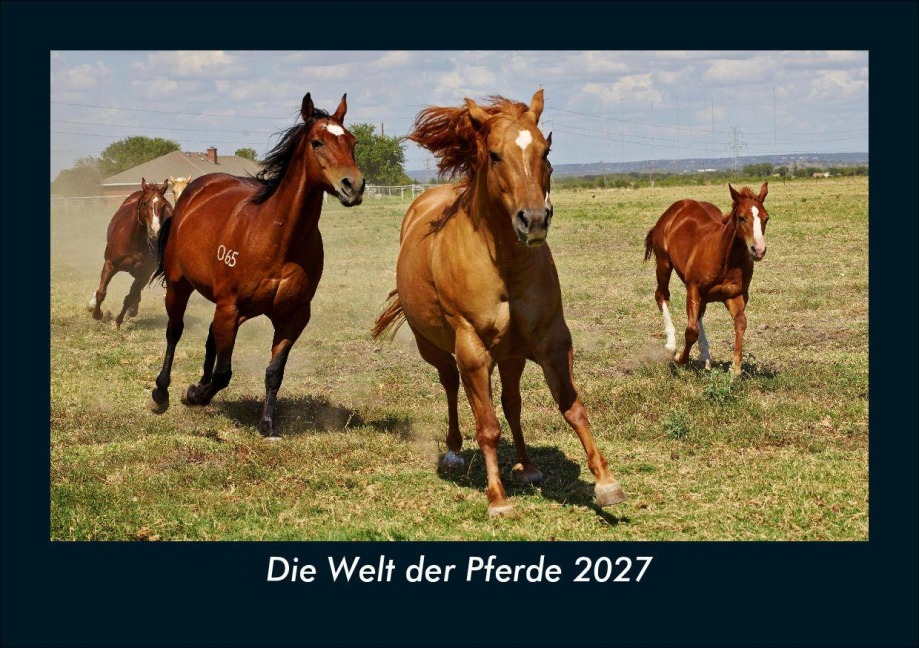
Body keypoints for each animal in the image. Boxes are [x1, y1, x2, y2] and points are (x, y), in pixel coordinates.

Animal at [88, 178, 172, 326]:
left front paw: (118, 321)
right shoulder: (110, 264)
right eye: (145, 203)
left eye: (164, 205)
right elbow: (101, 292)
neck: (135, 242)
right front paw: (97, 314)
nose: (155, 231)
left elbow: (130, 296)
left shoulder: (145, 272)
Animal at [149, 92, 364, 437]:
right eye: (317, 142)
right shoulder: (230, 307)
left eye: (352, 142)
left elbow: (274, 372)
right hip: (180, 286)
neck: (277, 240)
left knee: (210, 337)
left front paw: (266, 424)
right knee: (174, 332)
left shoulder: (293, 317)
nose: (353, 186)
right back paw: (162, 392)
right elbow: (224, 373)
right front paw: (195, 394)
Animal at [372, 90, 625, 517]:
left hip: (511, 355)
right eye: (494, 155)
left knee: (511, 403)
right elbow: (487, 426)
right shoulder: (473, 349)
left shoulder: (551, 339)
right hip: (436, 348)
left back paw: (526, 465)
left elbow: (571, 407)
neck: (502, 262)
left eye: (545, 150)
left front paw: (606, 483)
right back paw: (454, 452)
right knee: (451, 386)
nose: (534, 220)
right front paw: (497, 499)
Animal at [644, 182, 770, 376]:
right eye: (741, 218)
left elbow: (741, 323)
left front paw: (735, 368)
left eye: (766, 218)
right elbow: (691, 330)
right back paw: (671, 344)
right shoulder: (693, 288)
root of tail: (677, 207)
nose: (758, 250)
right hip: (663, 263)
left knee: (699, 313)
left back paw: (706, 356)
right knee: (661, 295)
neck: (725, 259)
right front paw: (679, 358)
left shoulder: (736, 295)